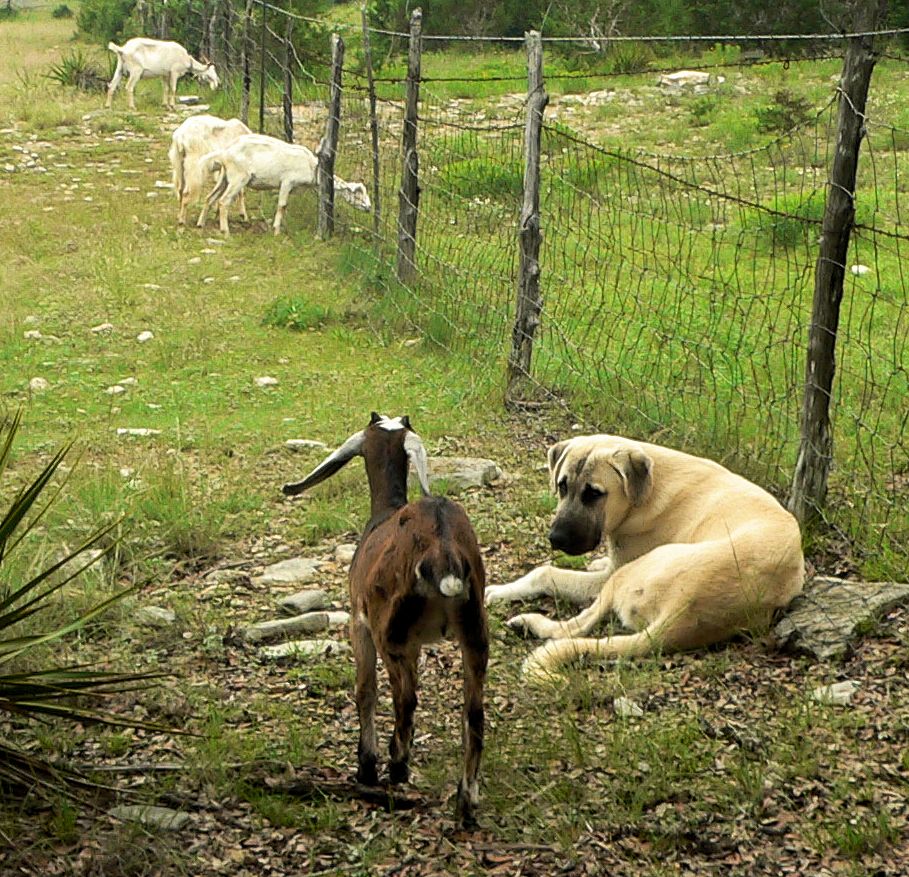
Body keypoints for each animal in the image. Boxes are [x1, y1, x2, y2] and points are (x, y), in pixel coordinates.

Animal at [197, 133, 370, 236]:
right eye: (357, 194)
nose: (369, 207)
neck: (313, 167)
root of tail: (225, 153)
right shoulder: (287, 181)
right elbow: (282, 205)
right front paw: (276, 230)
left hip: (225, 177)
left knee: (209, 197)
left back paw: (200, 224)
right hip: (238, 178)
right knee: (223, 201)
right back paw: (225, 231)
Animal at [486, 432, 804, 676]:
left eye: (594, 494)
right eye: (562, 486)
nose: (556, 539)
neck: (646, 491)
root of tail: (679, 617)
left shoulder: (608, 576)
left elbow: (545, 573)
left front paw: (500, 590)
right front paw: (598, 560)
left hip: (629, 575)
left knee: (575, 627)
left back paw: (530, 623)